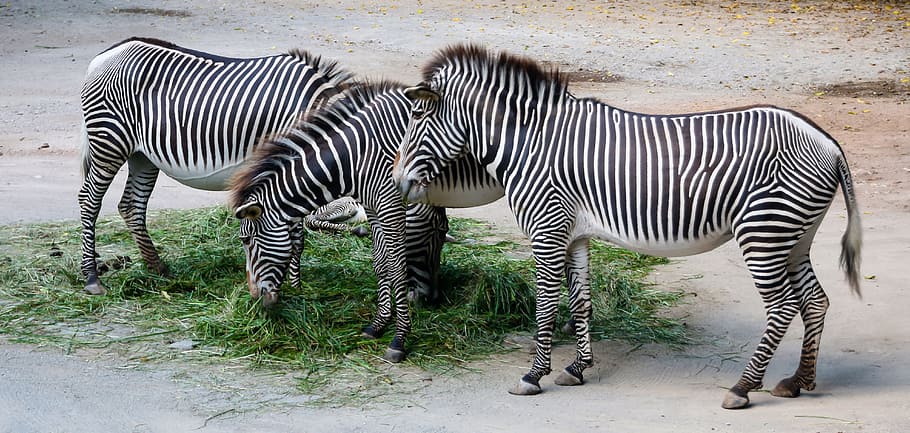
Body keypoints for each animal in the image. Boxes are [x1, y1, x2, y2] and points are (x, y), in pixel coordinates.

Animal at [78, 37, 372, 296]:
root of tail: (104, 56)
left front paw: (293, 284)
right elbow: (296, 236)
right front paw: (295, 287)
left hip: (142, 156)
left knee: (132, 206)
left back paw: (157, 268)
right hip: (109, 142)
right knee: (89, 201)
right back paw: (92, 278)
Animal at [230, 80, 503, 362]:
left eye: (247, 240)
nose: (254, 297)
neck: (354, 157)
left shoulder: (391, 204)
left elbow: (397, 268)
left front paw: (399, 339)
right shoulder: (372, 207)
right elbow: (380, 262)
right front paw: (378, 325)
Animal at [393, 44, 862, 409]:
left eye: (416, 116)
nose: (398, 182)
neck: (529, 143)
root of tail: (829, 143)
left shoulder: (546, 228)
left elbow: (546, 305)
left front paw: (533, 375)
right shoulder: (574, 233)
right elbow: (580, 301)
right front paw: (577, 368)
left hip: (764, 233)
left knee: (782, 307)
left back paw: (743, 387)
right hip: (793, 237)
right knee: (815, 302)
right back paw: (798, 381)